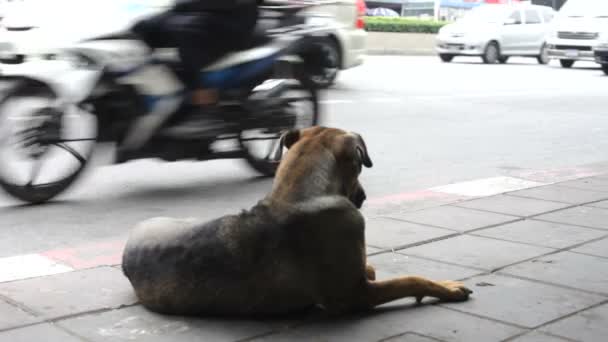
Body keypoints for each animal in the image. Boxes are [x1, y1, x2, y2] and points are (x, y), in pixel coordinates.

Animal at [121, 126, 472, 316]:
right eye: (359, 163)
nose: (363, 197)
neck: (300, 191)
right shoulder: (353, 296)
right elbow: (410, 279)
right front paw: (447, 287)